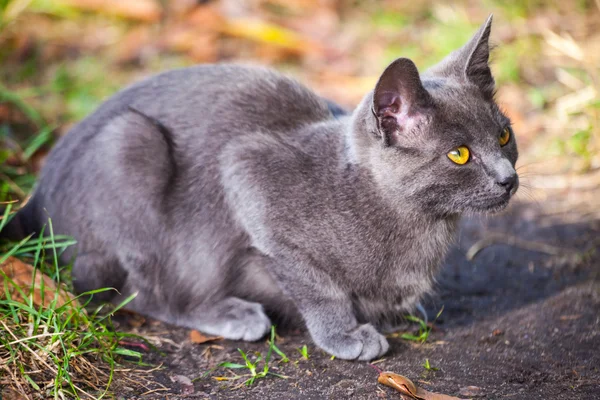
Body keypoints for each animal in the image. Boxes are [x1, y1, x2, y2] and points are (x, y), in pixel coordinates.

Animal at [3, 16, 516, 360]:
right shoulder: (248, 174)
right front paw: (346, 335)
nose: (509, 179)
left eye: (503, 137)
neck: (421, 224)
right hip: (130, 145)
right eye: (460, 154)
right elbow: (315, 283)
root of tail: (34, 200)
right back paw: (230, 314)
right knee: (135, 291)